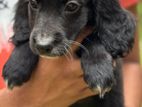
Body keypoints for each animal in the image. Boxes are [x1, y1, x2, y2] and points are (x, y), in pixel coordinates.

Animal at [2, 0, 135, 106]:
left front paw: (98, 71)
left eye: (71, 6)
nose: (42, 46)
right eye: (33, 4)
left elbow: (95, 36)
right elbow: (27, 36)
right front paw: (16, 67)